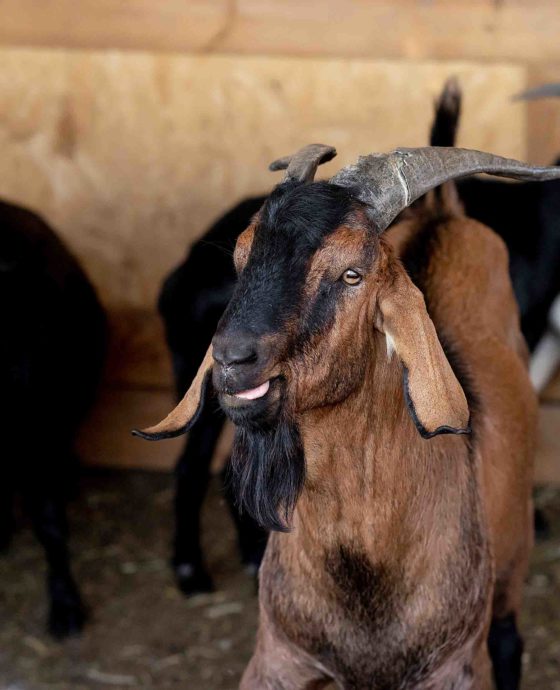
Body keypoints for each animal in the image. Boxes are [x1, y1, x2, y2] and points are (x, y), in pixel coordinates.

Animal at [137, 143, 560, 688]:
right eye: (241, 257)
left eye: (351, 274)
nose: (231, 358)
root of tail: (443, 213)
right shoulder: (278, 659)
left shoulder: (456, 666)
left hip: (512, 560)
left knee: (509, 638)